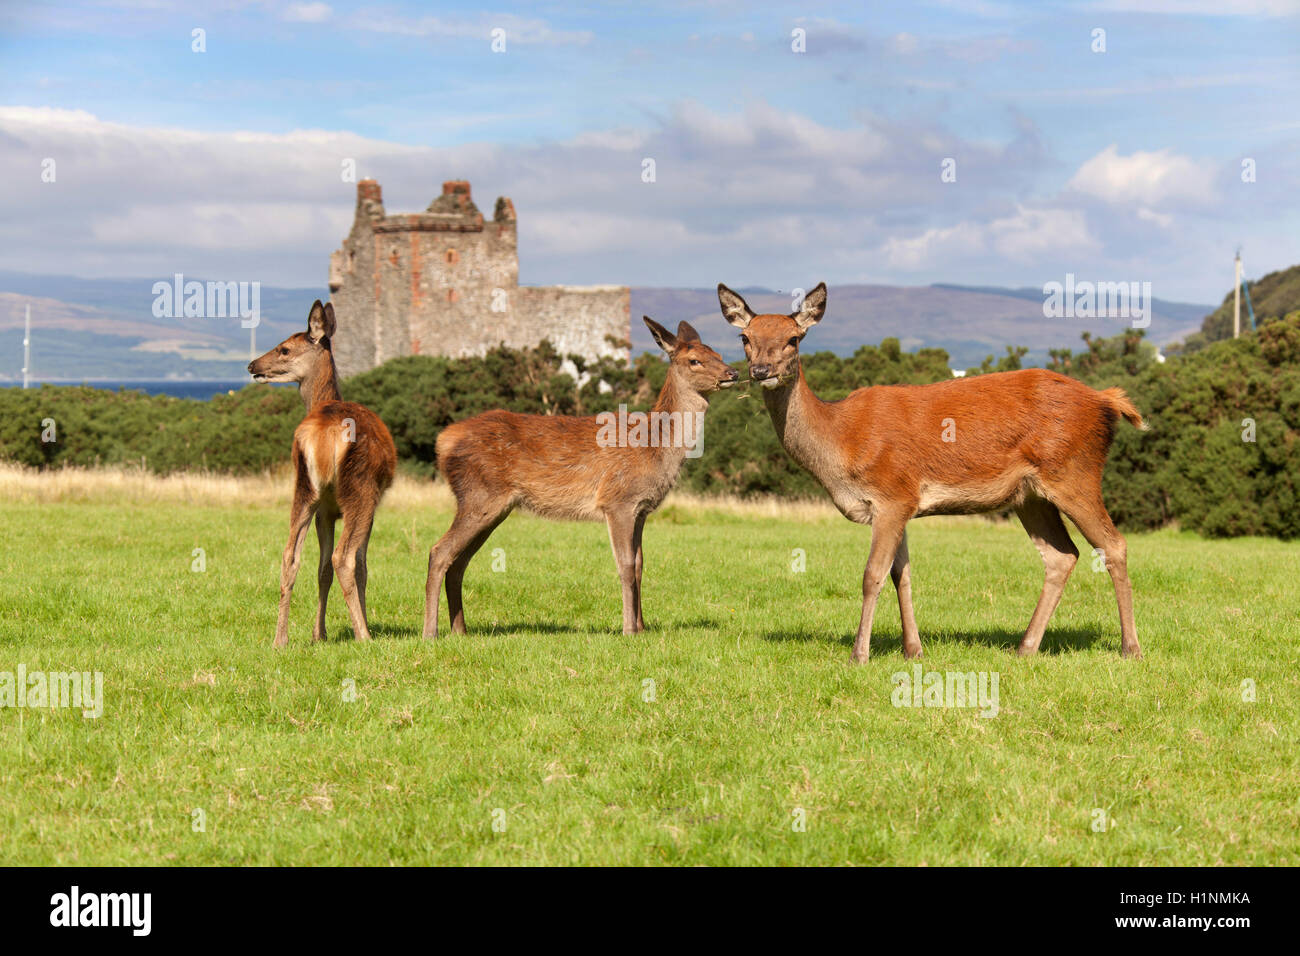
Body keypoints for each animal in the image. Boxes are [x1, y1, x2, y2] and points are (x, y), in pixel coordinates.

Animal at [248, 299, 395, 647]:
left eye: (284, 348)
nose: (252, 364)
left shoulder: (325, 511)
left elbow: (321, 568)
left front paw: (319, 634)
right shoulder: (368, 505)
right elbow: (361, 566)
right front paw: (357, 626)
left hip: (304, 487)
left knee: (290, 555)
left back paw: (280, 640)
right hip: (361, 489)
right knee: (344, 557)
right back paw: (364, 636)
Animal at [421, 319, 738, 642]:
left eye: (717, 353)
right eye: (694, 360)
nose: (733, 372)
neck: (654, 448)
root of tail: (443, 441)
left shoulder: (641, 509)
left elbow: (639, 565)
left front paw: (642, 627)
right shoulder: (617, 501)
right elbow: (625, 565)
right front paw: (628, 630)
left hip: (492, 506)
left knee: (458, 562)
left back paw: (460, 631)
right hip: (480, 494)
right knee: (439, 552)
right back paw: (430, 632)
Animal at [722, 280, 1149, 660]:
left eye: (794, 338)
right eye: (745, 338)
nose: (761, 370)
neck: (841, 442)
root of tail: (1107, 401)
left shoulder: (892, 494)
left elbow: (872, 575)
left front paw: (859, 654)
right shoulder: (901, 503)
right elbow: (902, 574)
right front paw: (913, 650)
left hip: (1075, 473)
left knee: (1114, 545)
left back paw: (1130, 648)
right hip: (1030, 496)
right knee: (1062, 555)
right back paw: (1025, 648)